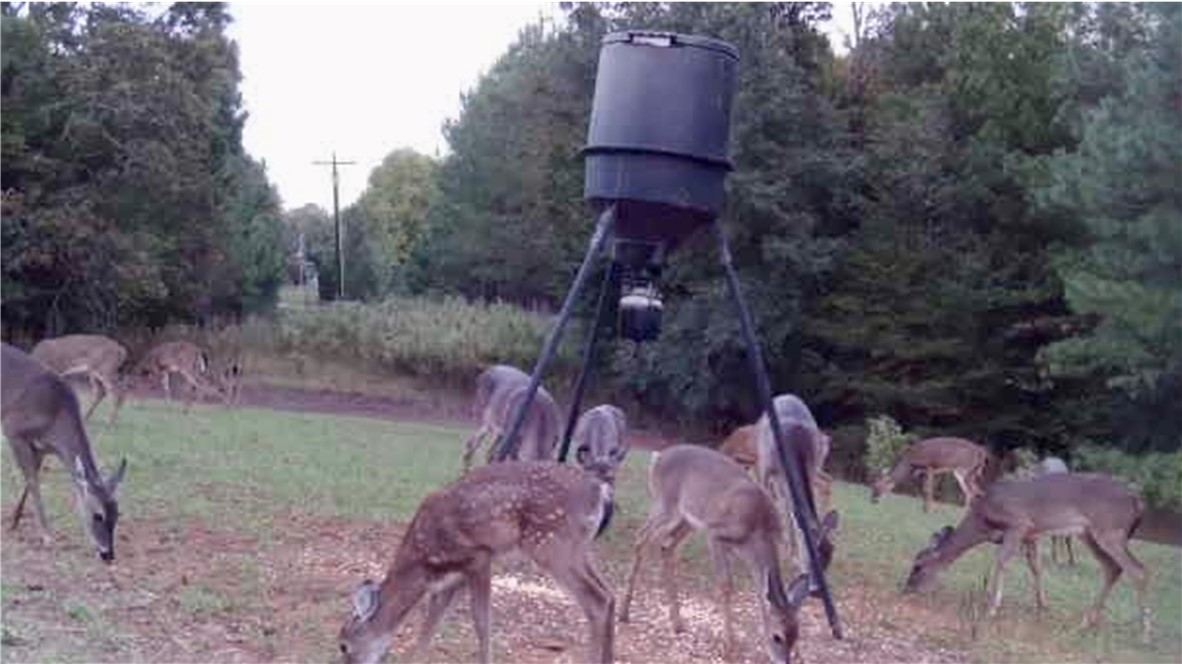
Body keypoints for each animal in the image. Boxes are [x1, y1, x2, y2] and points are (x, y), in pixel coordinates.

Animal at [1, 343, 127, 561]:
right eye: (98, 515)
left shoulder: (42, 448)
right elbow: (33, 482)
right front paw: (47, 535)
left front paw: (14, 521)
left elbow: (30, 481)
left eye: (117, 514)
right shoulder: (13, 430)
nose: (108, 554)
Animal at [337, 461, 615, 664]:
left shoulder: (478, 556)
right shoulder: (453, 578)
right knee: (609, 593)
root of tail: (601, 491)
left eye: (344, 646)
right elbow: (433, 621)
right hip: (578, 548)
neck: (423, 564)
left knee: (597, 599)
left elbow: (481, 621)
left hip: (552, 544)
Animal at [620, 444, 838, 664]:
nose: (783, 661)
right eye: (777, 637)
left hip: (687, 519)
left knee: (667, 547)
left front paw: (800, 654)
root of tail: (658, 456)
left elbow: (760, 591)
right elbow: (726, 585)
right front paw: (729, 647)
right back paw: (624, 613)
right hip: (666, 503)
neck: (757, 532)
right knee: (640, 538)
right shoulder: (716, 535)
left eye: (796, 634)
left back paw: (677, 623)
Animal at [903, 472, 1150, 642]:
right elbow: (1036, 567)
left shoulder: (1019, 523)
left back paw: (1144, 632)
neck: (983, 522)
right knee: (1113, 568)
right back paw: (1086, 622)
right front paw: (1042, 605)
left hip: (1110, 530)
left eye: (918, 566)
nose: (907, 589)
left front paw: (992, 608)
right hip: (1090, 534)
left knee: (1138, 569)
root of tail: (1137, 500)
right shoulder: (1031, 535)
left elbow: (1002, 561)